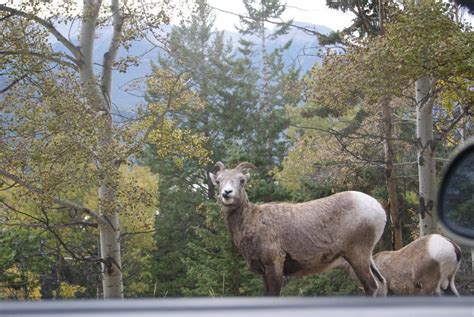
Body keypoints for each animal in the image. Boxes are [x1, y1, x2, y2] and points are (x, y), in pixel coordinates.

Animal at [209, 162, 386, 296]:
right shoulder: (264, 272)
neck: (252, 220)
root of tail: (379, 209)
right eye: (218, 181)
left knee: (371, 286)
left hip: (357, 255)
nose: (227, 193)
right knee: (382, 283)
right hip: (365, 258)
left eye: (241, 180)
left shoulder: (274, 265)